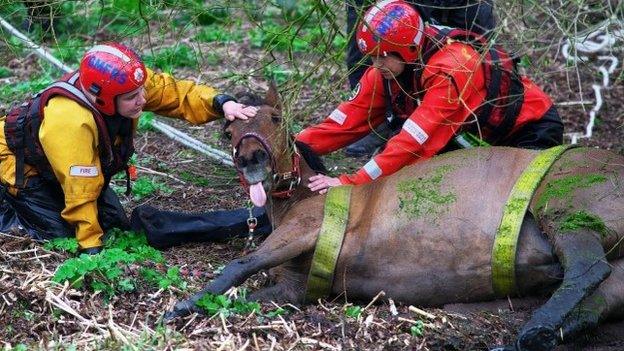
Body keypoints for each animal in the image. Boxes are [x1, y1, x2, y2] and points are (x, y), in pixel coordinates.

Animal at [166, 86, 624, 351]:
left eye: (276, 119)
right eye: (226, 133)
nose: (251, 159)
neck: (301, 196)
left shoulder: (303, 229)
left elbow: (240, 264)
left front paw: (181, 305)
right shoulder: (295, 287)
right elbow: (243, 295)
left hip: (563, 209)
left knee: (587, 270)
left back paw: (536, 328)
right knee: (596, 298)